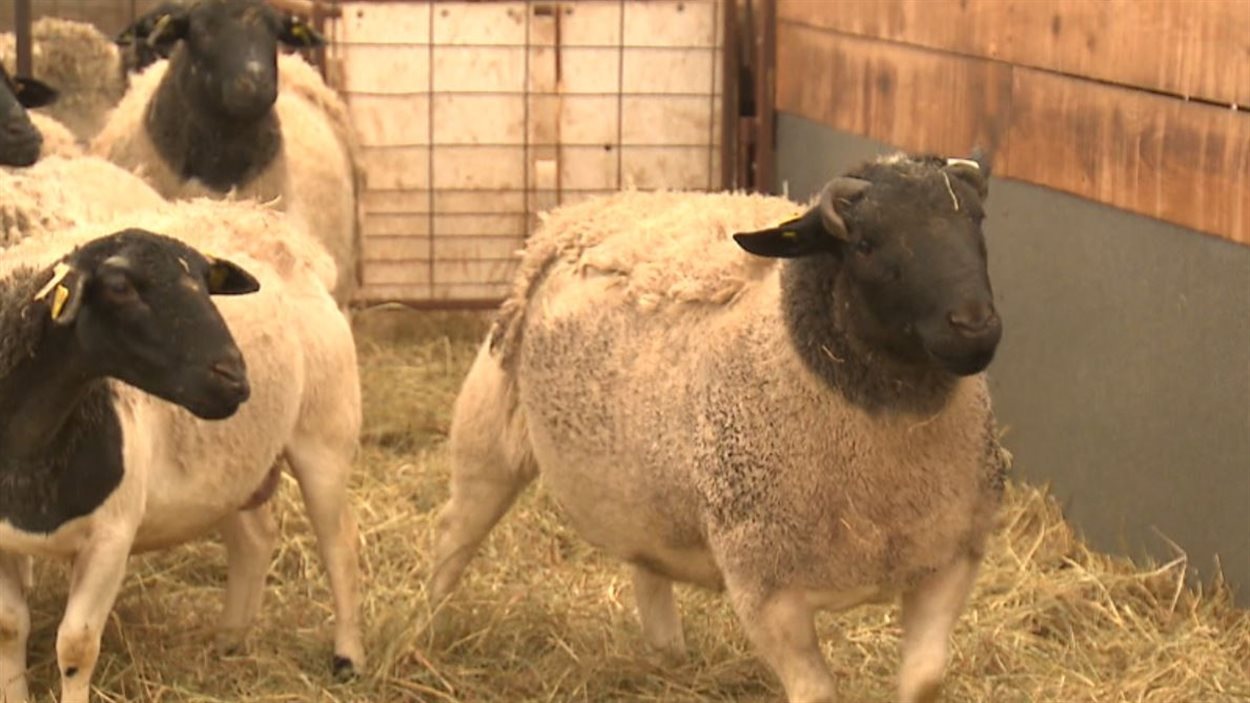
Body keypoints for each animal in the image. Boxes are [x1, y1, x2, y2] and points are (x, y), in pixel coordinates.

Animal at [0, 198, 364, 703]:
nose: (233, 376)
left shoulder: (112, 537)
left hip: (325, 435)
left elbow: (76, 646)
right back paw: (229, 642)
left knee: (339, 544)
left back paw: (348, 658)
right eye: (119, 287)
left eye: (207, 283)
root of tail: (278, 232)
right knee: (255, 539)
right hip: (229, 472)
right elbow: (10, 630)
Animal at [428, 152, 1011, 703]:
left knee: (645, 566)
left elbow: (925, 680)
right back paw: (431, 627)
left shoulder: (949, 564)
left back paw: (668, 658)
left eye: (977, 222)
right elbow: (817, 691)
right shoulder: (765, 590)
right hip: (488, 429)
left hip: (644, 485)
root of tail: (590, 207)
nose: (975, 326)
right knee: (455, 532)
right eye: (866, 244)